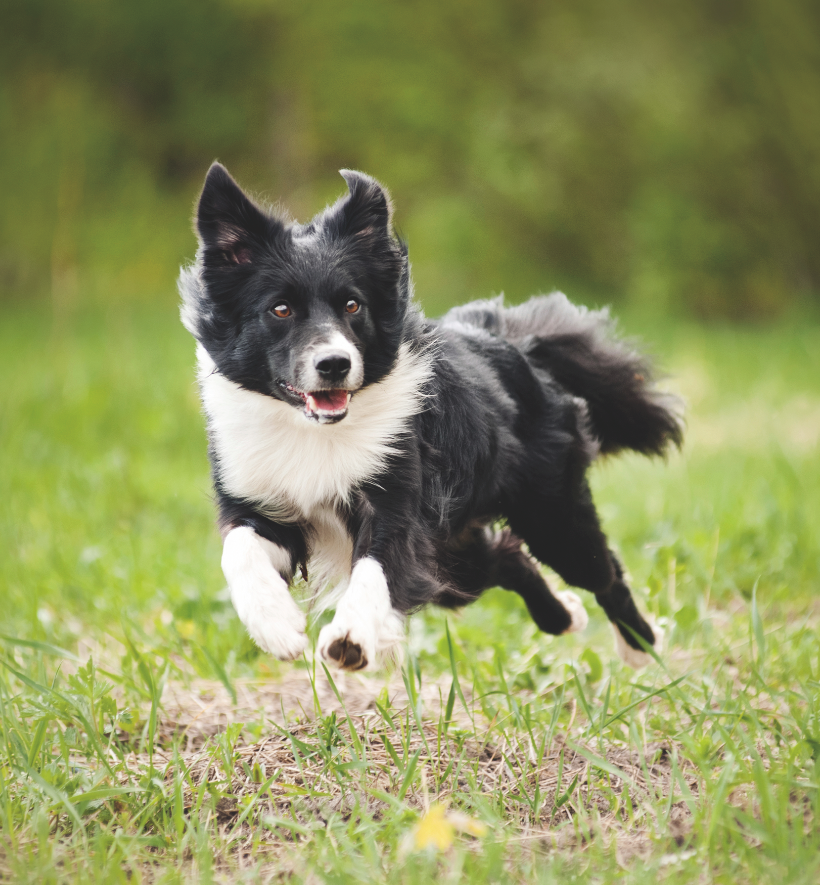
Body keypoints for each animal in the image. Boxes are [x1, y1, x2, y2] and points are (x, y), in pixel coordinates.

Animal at [181, 162, 684, 668]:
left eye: (352, 305)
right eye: (280, 309)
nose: (335, 364)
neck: (313, 432)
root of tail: (515, 343)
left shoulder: (398, 499)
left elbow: (377, 567)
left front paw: (350, 638)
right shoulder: (259, 499)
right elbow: (238, 548)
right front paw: (276, 626)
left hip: (551, 515)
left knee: (602, 571)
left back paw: (641, 646)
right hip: (455, 550)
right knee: (505, 558)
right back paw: (564, 616)